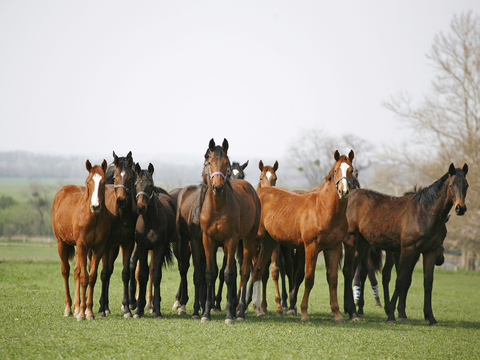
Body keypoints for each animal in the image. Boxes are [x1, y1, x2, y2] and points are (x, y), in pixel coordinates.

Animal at [52, 160, 110, 320]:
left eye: (103, 182)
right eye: (88, 182)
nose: (95, 206)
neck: (93, 217)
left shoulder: (98, 248)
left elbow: (91, 277)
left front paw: (88, 311)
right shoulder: (82, 245)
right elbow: (84, 276)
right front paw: (83, 314)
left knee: (76, 271)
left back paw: (77, 307)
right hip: (62, 243)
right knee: (66, 271)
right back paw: (69, 308)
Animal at [95, 152, 137, 318]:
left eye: (131, 177)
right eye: (115, 178)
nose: (121, 200)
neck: (120, 214)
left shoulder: (127, 244)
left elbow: (125, 273)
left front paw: (127, 308)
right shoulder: (106, 245)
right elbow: (104, 273)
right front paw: (101, 309)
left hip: (114, 248)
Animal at [132, 163, 175, 318]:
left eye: (150, 185)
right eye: (136, 184)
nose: (141, 207)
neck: (150, 221)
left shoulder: (159, 247)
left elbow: (156, 276)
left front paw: (157, 310)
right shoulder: (142, 247)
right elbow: (142, 275)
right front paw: (138, 309)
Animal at [202, 139, 262, 324]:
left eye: (226, 163)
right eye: (209, 162)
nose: (218, 187)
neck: (217, 208)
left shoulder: (230, 240)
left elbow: (228, 273)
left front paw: (229, 314)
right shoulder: (208, 240)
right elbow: (210, 273)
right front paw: (206, 312)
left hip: (248, 240)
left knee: (244, 272)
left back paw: (240, 311)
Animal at [344, 162, 470, 324]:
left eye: (466, 185)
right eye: (451, 185)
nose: (461, 208)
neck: (424, 213)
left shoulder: (430, 251)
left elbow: (428, 282)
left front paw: (430, 317)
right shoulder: (408, 250)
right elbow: (401, 280)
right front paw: (392, 314)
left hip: (362, 245)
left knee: (352, 272)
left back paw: (350, 310)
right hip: (352, 242)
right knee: (350, 271)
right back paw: (354, 312)